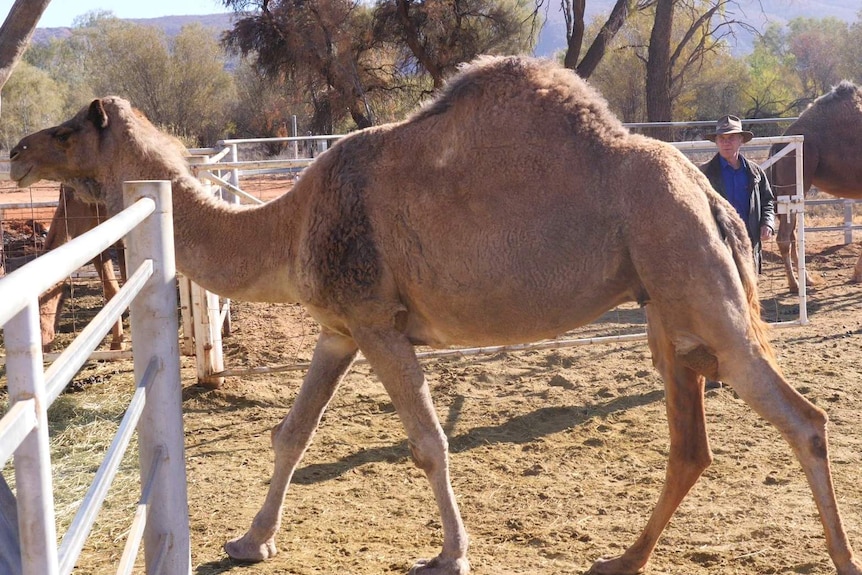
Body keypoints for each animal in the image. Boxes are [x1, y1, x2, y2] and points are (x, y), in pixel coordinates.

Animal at [768, 81, 862, 294]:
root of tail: (778, 144)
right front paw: (856, 275)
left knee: (793, 234)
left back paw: (808, 280)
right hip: (793, 182)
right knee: (784, 236)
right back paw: (795, 285)